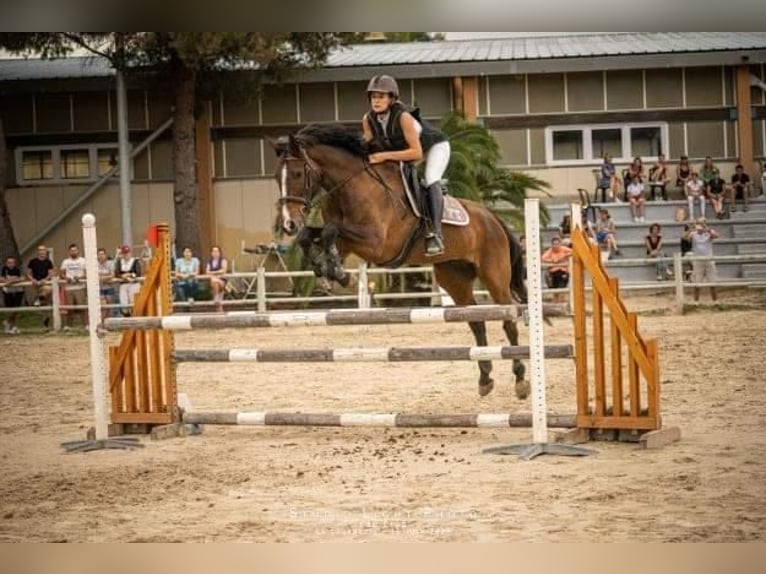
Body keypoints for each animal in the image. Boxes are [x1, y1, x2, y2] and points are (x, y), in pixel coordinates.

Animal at [272, 122, 532, 400]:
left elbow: (331, 231)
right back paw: (485, 379)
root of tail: (492, 217)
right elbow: (314, 236)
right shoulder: (348, 240)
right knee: (476, 322)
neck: (349, 187)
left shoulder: (376, 244)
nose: (288, 224)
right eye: (277, 178)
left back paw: (521, 381)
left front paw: (337, 273)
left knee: (508, 321)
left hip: (494, 276)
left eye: (297, 174)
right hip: (454, 278)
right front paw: (331, 271)